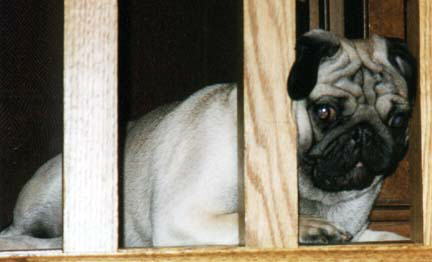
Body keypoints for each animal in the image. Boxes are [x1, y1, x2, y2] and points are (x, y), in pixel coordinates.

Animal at [0, 29, 416, 249]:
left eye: (398, 119)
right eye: (325, 111)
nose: (364, 133)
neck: (309, 191)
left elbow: (377, 235)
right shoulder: (185, 216)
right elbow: (247, 223)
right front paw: (308, 228)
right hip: (54, 193)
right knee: (21, 234)